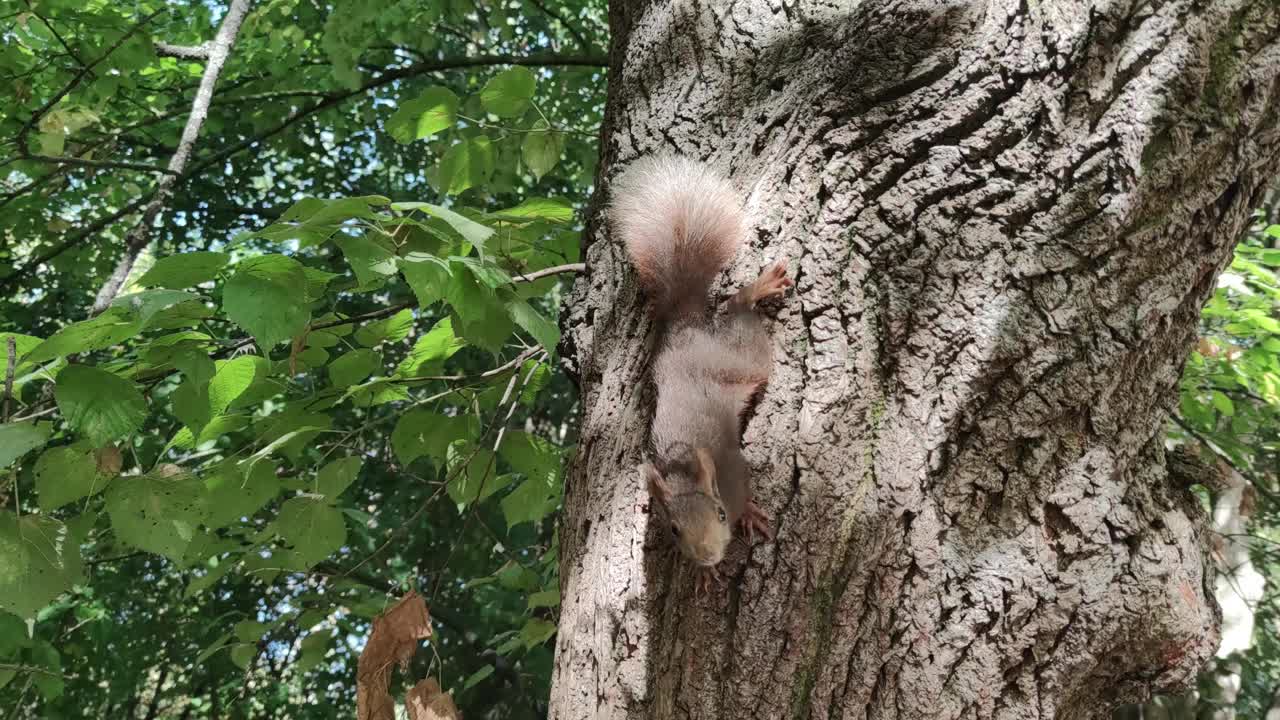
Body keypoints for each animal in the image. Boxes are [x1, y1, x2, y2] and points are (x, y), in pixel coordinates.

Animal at [609, 152, 788, 589]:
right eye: (674, 530)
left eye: (721, 514)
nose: (706, 555)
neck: (685, 474)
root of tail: (683, 327)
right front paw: (705, 573)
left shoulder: (735, 473)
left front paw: (751, 515)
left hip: (738, 362)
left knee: (740, 314)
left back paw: (755, 291)